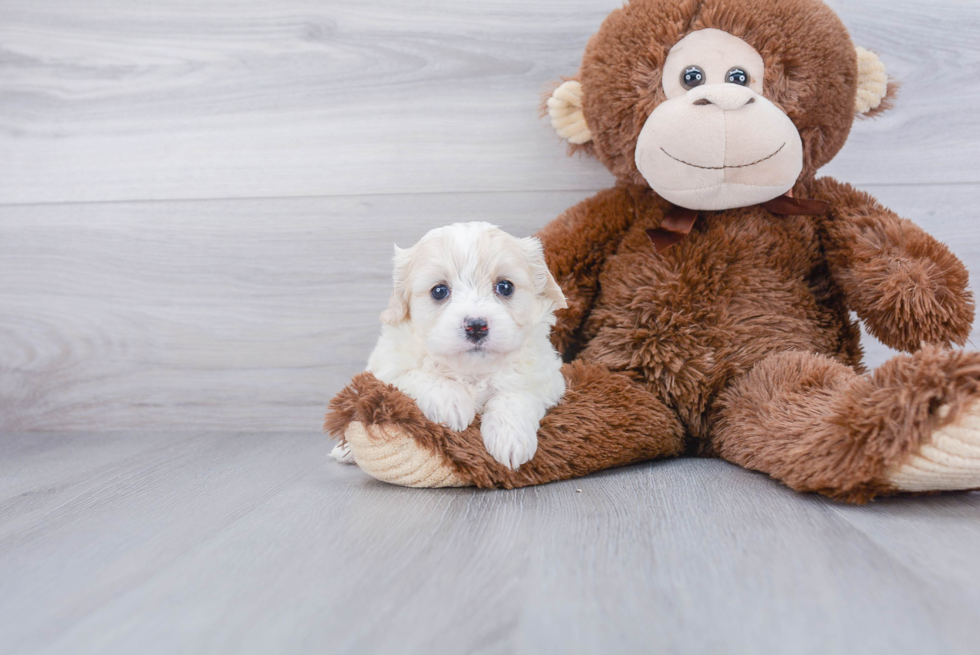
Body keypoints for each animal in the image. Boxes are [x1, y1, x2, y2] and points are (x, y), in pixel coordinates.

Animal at [334, 223, 568, 468]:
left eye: (505, 287)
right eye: (439, 291)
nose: (476, 326)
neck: (472, 370)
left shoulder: (546, 379)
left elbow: (517, 394)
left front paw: (511, 437)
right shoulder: (387, 371)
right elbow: (421, 375)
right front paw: (451, 404)